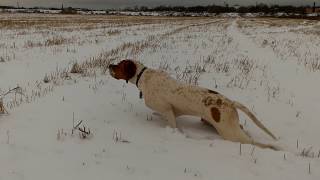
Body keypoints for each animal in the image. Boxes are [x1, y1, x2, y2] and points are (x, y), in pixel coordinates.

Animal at [109, 59, 278, 150]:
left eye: (120, 65)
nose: (109, 65)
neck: (142, 76)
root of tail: (230, 102)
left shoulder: (168, 110)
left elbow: (172, 124)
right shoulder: (169, 111)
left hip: (230, 133)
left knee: (250, 141)